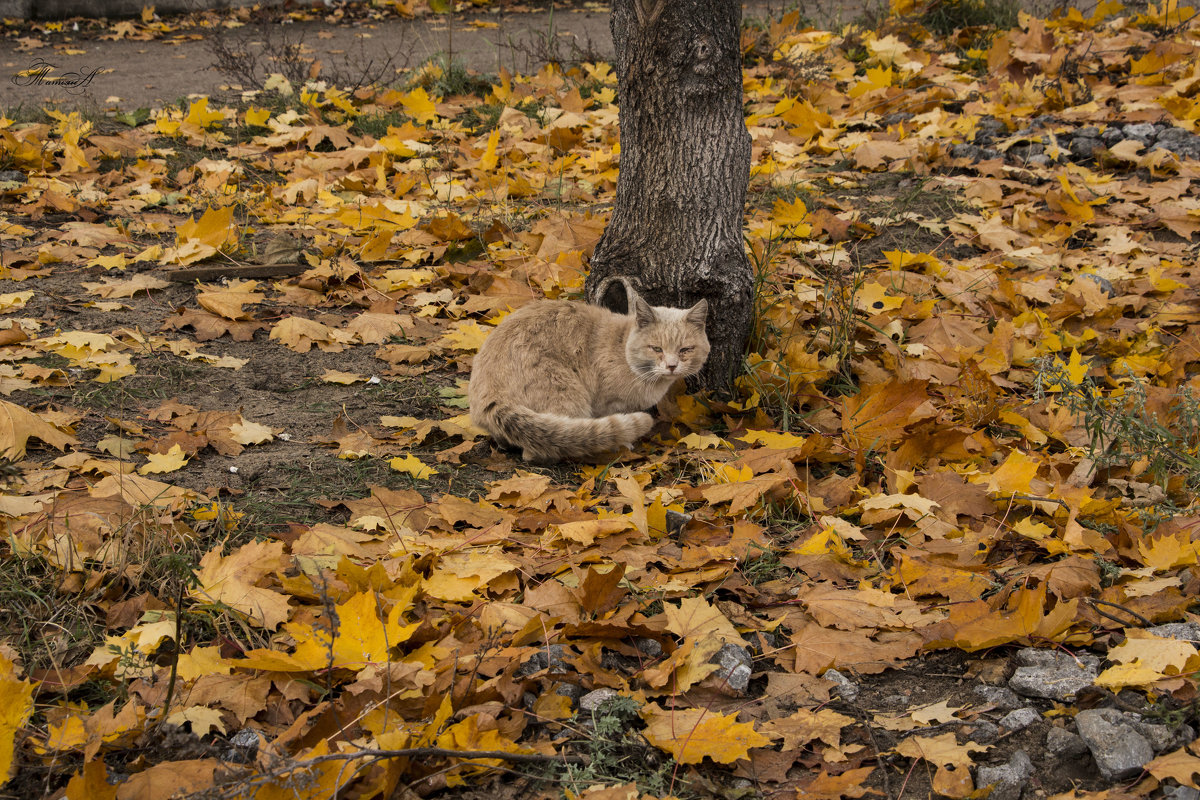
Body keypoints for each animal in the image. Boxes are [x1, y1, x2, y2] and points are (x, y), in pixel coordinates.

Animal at [465, 292, 710, 462]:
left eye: (685, 350)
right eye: (656, 348)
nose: (671, 366)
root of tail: (491, 392)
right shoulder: (607, 403)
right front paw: (622, 443)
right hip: (567, 394)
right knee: (543, 449)